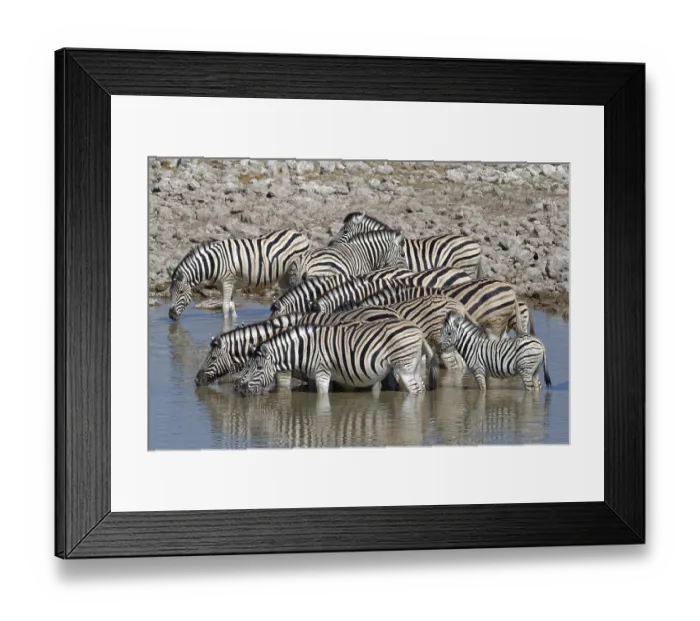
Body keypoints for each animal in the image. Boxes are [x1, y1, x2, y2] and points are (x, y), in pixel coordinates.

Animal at [168, 230, 309, 320]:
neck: (214, 262)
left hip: (295, 271)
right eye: (170, 292)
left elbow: (225, 307)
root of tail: (299, 233)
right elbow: (231, 306)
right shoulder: (222, 285)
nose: (171, 315)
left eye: (181, 292)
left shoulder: (227, 281)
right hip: (284, 275)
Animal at [232, 319, 427, 396]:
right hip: (414, 366)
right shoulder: (318, 376)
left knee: (415, 392)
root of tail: (417, 329)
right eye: (246, 366)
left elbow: (322, 398)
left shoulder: (322, 372)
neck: (305, 349)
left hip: (404, 367)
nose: (241, 390)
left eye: (258, 368)